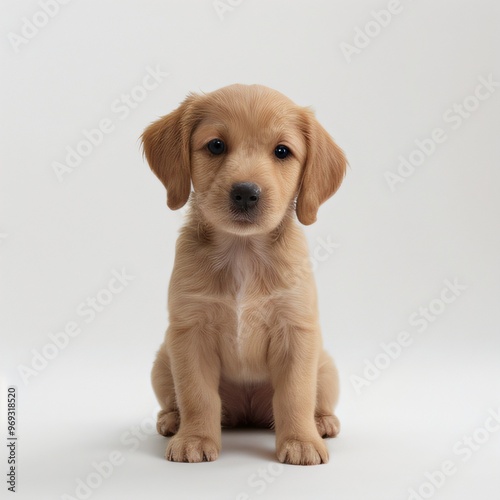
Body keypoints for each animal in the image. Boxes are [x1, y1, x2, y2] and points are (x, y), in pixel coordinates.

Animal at [143, 83, 346, 464]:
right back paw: (172, 419)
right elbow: (196, 394)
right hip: (163, 362)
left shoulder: (296, 332)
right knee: (177, 399)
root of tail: (248, 412)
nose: (245, 193)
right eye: (216, 145)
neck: (243, 252)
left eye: (282, 151)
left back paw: (322, 422)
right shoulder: (190, 333)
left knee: (315, 400)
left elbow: (296, 394)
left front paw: (300, 441)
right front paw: (195, 438)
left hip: (326, 368)